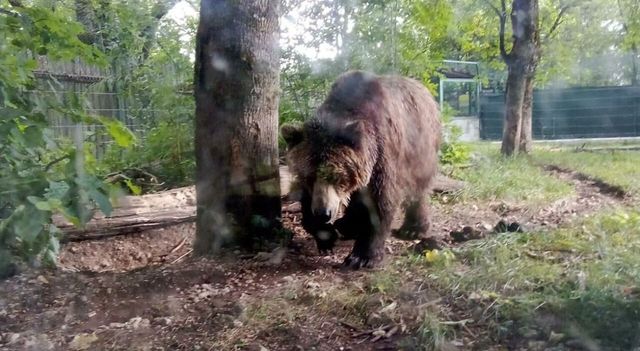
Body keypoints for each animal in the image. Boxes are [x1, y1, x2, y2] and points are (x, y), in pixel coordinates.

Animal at [282, 71, 442, 270]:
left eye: (336, 176)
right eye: (309, 176)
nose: (324, 213)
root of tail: (425, 91)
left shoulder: (382, 155)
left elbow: (379, 202)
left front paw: (361, 257)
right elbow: (306, 199)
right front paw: (325, 236)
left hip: (420, 147)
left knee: (418, 188)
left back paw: (413, 229)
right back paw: (347, 225)